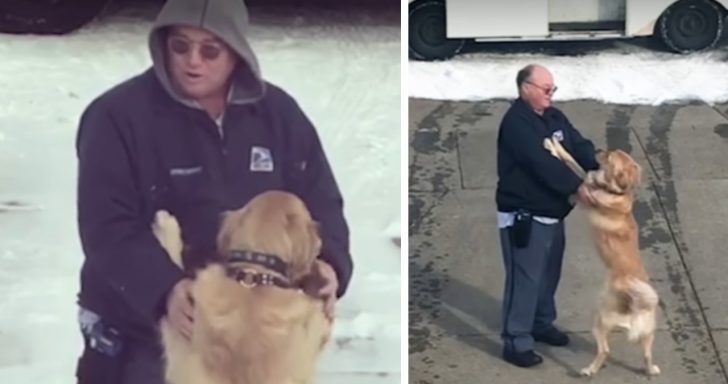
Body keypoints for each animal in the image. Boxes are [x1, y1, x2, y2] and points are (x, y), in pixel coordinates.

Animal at [544, 139, 664, 378]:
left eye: (609, 156)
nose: (597, 149)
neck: (615, 192)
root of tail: (633, 309)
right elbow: (575, 162)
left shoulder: (581, 191)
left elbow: (569, 160)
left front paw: (553, 145)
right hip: (648, 332)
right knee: (647, 355)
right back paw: (650, 370)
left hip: (599, 320)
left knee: (605, 351)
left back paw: (588, 370)